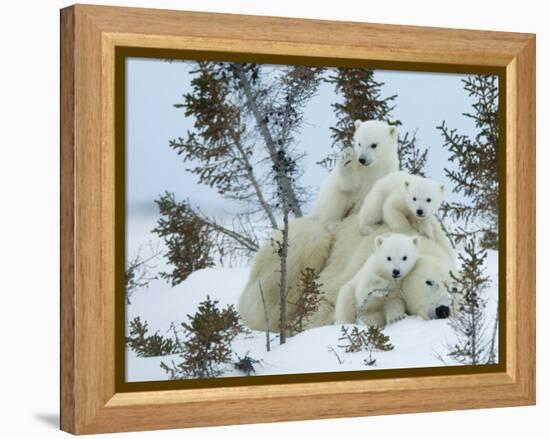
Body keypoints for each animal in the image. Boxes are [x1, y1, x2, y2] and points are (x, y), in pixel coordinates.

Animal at [239, 120, 398, 330]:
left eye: (374, 144)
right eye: (358, 143)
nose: (362, 159)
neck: (372, 169)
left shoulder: (384, 173)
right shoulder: (356, 179)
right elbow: (347, 184)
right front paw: (347, 159)